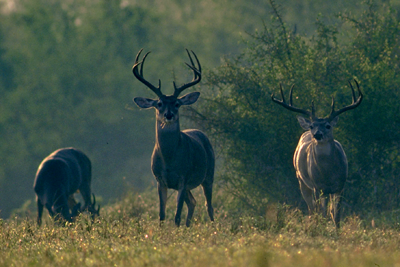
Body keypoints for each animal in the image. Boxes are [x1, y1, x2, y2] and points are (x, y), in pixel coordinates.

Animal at [132, 49, 214, 227]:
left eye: (177, 103)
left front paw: (176, 231)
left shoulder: (183, 178)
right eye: (159, 103)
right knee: (193, 202)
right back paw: (189, 227)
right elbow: (162, 214)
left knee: (208, 206)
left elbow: (176, 215)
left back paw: (213, 228)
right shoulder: (160, 180)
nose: (168, 115)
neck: (169, 160)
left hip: (208, 175)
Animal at [272, 81, 362, 228]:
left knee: (324, 210)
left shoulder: (341, 186)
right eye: (312, 126)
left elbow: (336, 215)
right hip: (302, 181)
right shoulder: (318, 187)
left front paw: (337, 231)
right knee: (312, 208)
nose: (317, 134)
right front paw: (323, 229)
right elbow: (323, 213)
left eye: (328, 126)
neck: (328, 174)